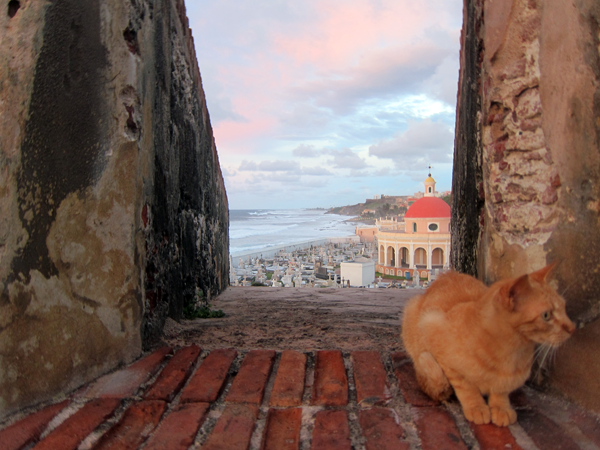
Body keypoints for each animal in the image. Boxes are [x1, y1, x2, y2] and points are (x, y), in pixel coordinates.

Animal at [400, 266, 576, 428]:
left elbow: (500, 390)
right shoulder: (432, 326)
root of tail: (447, 274)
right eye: (546, 315)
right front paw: (476, 407)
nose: (572, 328)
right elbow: (465, 386)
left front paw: (501, 408)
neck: (511, 352)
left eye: (564, 308)